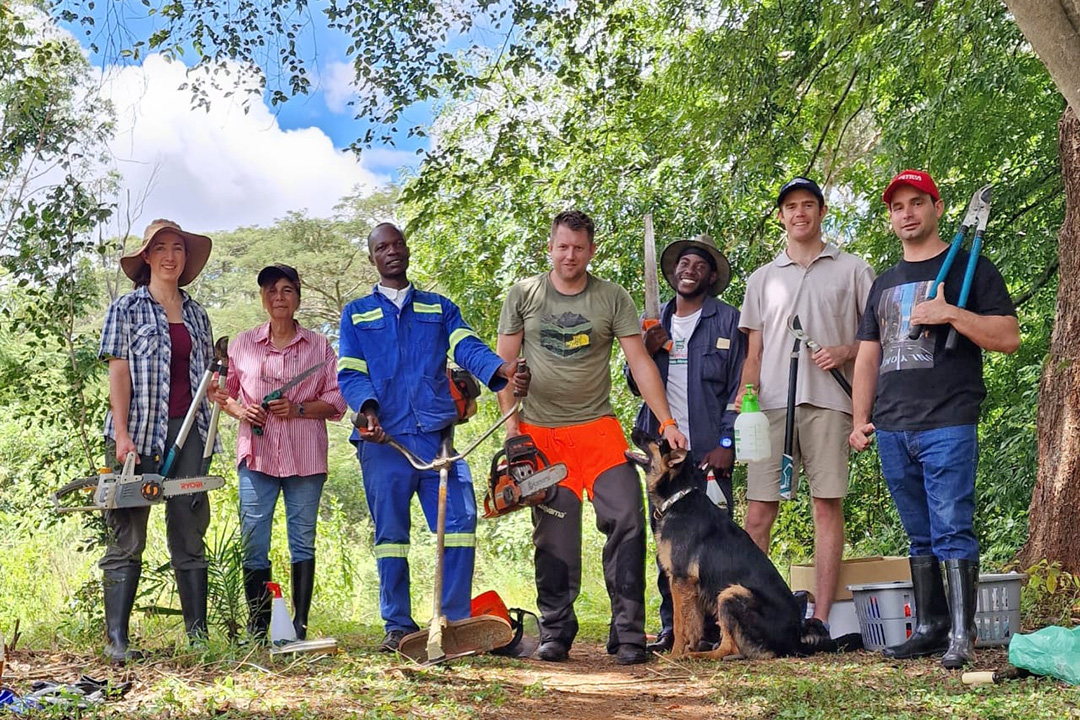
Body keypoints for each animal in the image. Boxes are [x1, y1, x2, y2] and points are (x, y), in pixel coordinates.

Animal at [626, 436, 833, 660]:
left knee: (729, 647)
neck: (677, 497)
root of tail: (796, 641)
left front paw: (674, 655)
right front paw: (687, 648)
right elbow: (693, 625)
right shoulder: (690, 588)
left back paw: (698, 655)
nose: (634, 431)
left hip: (730, 593)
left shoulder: (680, 580)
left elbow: (679, 623)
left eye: (655, 441)